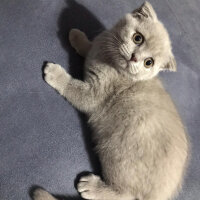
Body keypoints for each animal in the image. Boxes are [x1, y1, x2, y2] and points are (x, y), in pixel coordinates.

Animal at [34, 1, 189, 200]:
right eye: (138, 38)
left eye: (148, 62)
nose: (135, 58)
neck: (108, 59)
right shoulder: (99, 46)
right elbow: (89, 46)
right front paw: (78, 36)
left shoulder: (94, 95)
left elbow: (73, 88)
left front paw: (55, 73)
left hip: (117, 157)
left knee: (124, 195)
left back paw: (91, 187)